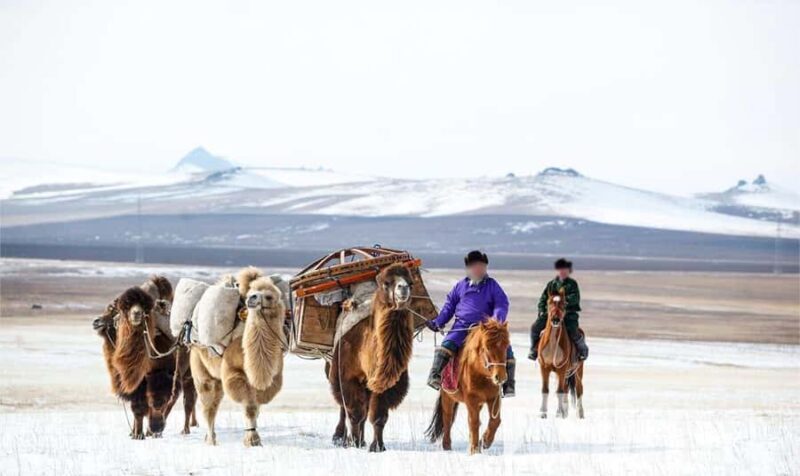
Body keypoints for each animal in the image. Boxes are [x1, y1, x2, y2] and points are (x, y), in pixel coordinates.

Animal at [190, 267, 286, 447]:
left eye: (269, 296)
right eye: (251, 292)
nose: (252, 298)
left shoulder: (273, 377)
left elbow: (257, 406)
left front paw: (253, 438)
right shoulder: (234, 371)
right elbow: (249, 407)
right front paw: (252, 439)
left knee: (215, 400)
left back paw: (209, 437)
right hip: (200, 367)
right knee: (208, 404)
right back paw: (211, 440)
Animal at [327, 263, 415, 452]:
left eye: (411, 283)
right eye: (386, 283)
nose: (403, 288)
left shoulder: (385, 383)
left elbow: (378, 416)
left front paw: (377, 446)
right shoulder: (348, 376)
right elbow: (355, 413)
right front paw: (354, 442)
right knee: (344, 407)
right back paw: (341, 438)